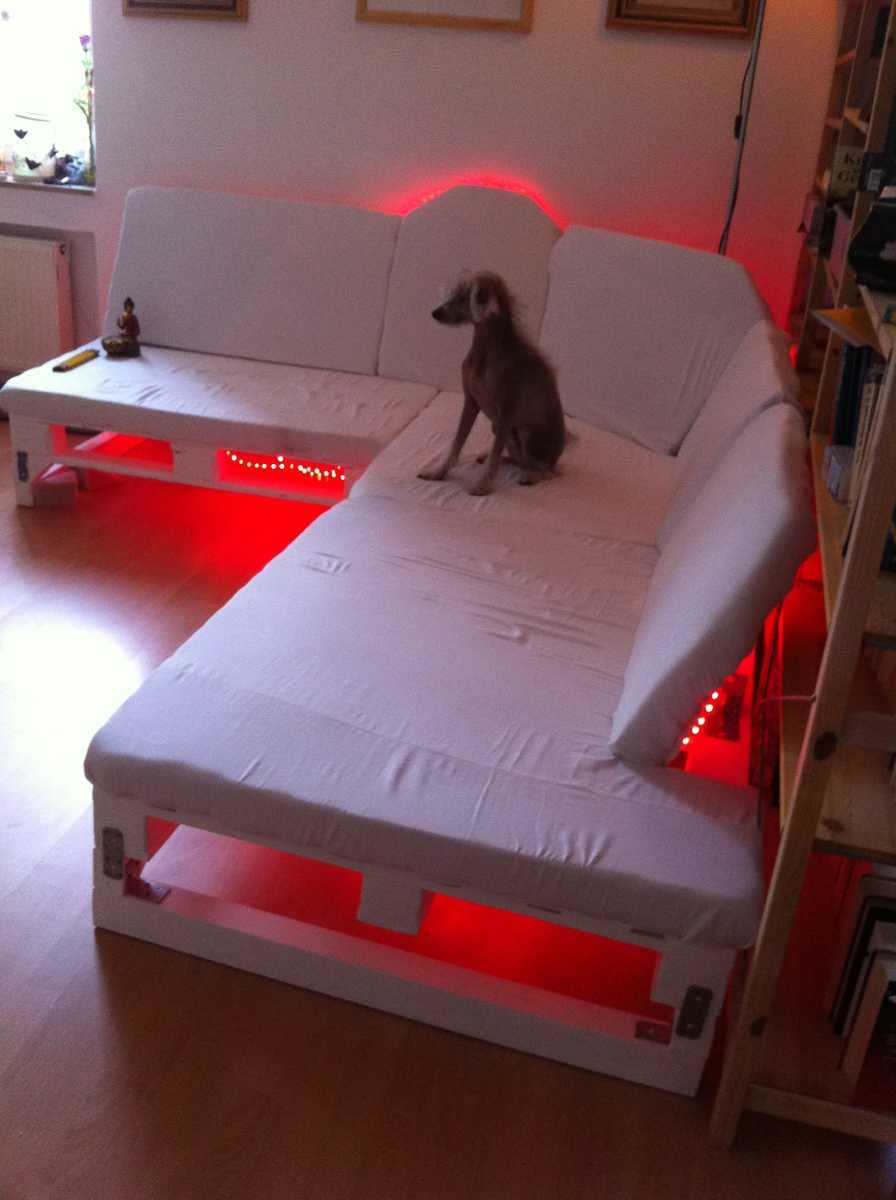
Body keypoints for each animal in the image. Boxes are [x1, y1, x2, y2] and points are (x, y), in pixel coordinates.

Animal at [418, 271, 565, 496]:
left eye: (465, 297)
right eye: (454, 293)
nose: (435, 313)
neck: (486, 352)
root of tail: (557, 457)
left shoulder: (506, 412)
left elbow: (493, 457)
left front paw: (482, 486)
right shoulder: (471, 403)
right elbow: (456, 444)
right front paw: (438, 472)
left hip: (525, 432)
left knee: (545, 471)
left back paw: (531, 475)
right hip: (498, 428)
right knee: (517, 459)